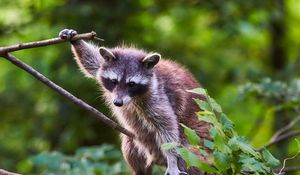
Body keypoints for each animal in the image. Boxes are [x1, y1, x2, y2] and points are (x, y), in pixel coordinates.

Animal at [59, 29, 211, 175]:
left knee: (189, 153)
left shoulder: (157, 96)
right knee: (130, 145)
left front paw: (172, 160)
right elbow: (92, 61)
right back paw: (138, 170)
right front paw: (76, 41)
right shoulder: (103, 66)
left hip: (200, 142)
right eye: (114, 81)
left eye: (131, 84)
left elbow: (168, 127)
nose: (118, 103)